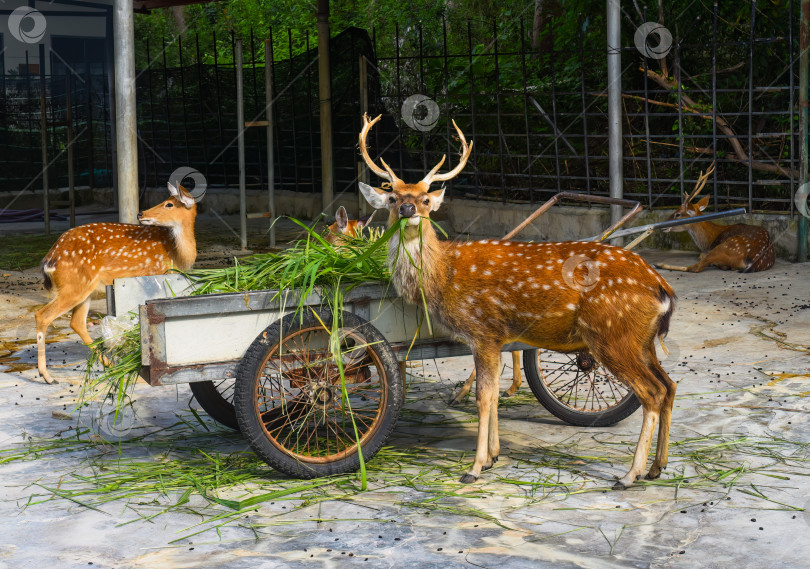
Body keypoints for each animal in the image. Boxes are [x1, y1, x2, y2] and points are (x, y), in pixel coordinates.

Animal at [36, 182, 197, 384]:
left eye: (169, 204)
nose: (141, 213)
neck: (178, 254)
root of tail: (50, 259)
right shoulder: (154, 277)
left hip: (84, 290)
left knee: (77, 322)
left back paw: (110, 365)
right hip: (73, 286)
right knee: (42, 315)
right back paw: (47, 376)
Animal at [356, 113, 680, 486]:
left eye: (425, 199)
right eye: (392, 197)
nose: (409, 208)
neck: (443, 275)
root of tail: (662, 288)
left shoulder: (483, 330)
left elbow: (484, 397)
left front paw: (475, 468)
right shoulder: (496, 338)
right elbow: (494, 394)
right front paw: (494, 457)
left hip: (612, 334)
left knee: (651, 392)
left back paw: (630, 474)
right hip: (642, 339)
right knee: (669, 385)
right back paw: (657, 467)